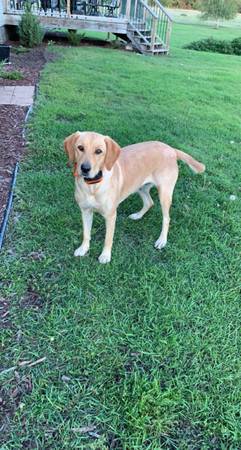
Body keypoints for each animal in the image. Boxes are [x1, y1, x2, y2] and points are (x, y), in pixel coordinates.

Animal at [64, 132, 205, 262]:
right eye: (80, 148)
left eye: (99, 151)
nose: (85, 168)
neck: (93, 186)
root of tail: (171, 148)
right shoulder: (85, 211)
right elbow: (86, 233)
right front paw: (83, 248)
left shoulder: (111, 216)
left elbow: (108, 239)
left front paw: (105, 255)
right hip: (140, 187)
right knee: (149, 202)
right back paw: (138, 215)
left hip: (164, 193)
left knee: (166, 218)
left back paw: (162, 240)